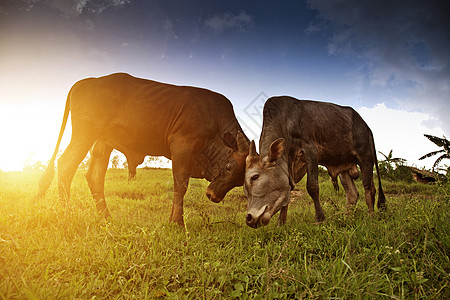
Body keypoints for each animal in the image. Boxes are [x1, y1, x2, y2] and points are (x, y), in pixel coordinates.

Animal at [36, 72, 250, 225]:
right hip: (85, 134)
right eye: (228, 167)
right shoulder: (181, 145)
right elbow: (181, 185)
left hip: (103, 143)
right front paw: (177, 222)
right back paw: (67, 215)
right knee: (66, 164)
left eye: (241, 181)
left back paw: (106, 217)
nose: (213, 195)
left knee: (94, 176)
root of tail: (86, 81)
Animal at [244, 96, 384, 227]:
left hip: (365, 158)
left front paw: (320, 219)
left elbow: (312, 187)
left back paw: (370, 217)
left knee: (369, 188)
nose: (249, 218)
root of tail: (366, 127)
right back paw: (346, 219)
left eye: (255, 177)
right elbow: (287, 191)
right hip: (344, 167)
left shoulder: (310, 150)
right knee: (352, 194)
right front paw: (280, 223)